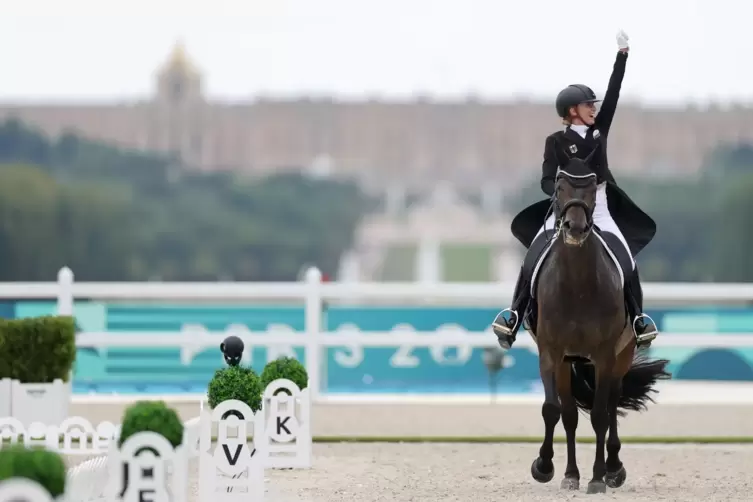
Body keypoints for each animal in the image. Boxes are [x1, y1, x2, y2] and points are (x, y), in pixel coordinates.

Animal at [524, 150, 668, 494]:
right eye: (559, 187)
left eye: (591, 189)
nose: (575, 229)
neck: (577, 285)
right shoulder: (551, 353)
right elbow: (554, 410)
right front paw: (545, 467)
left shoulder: (604, 355)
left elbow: (601, 415)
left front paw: (599, 477)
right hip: (568, 363)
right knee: (570, 414)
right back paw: (571, 473)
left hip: (621, 355)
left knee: (612, 404)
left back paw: (614, 469)